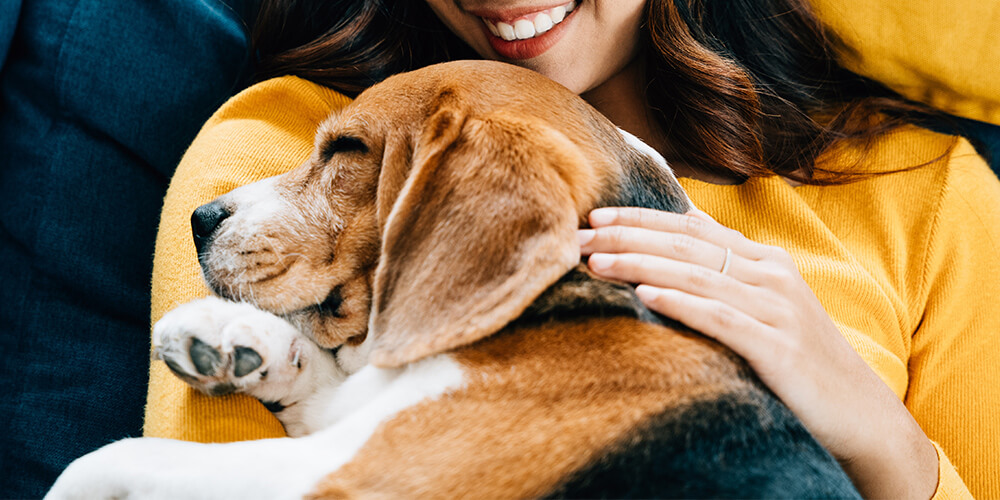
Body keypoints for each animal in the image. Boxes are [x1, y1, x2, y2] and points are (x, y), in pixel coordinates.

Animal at [48, 61, 860, 500]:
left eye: (345, 149)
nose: (200, 218)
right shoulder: (360, 420)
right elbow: (330, 375)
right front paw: (231, 340)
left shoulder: (356, 474)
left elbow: (122, 456)